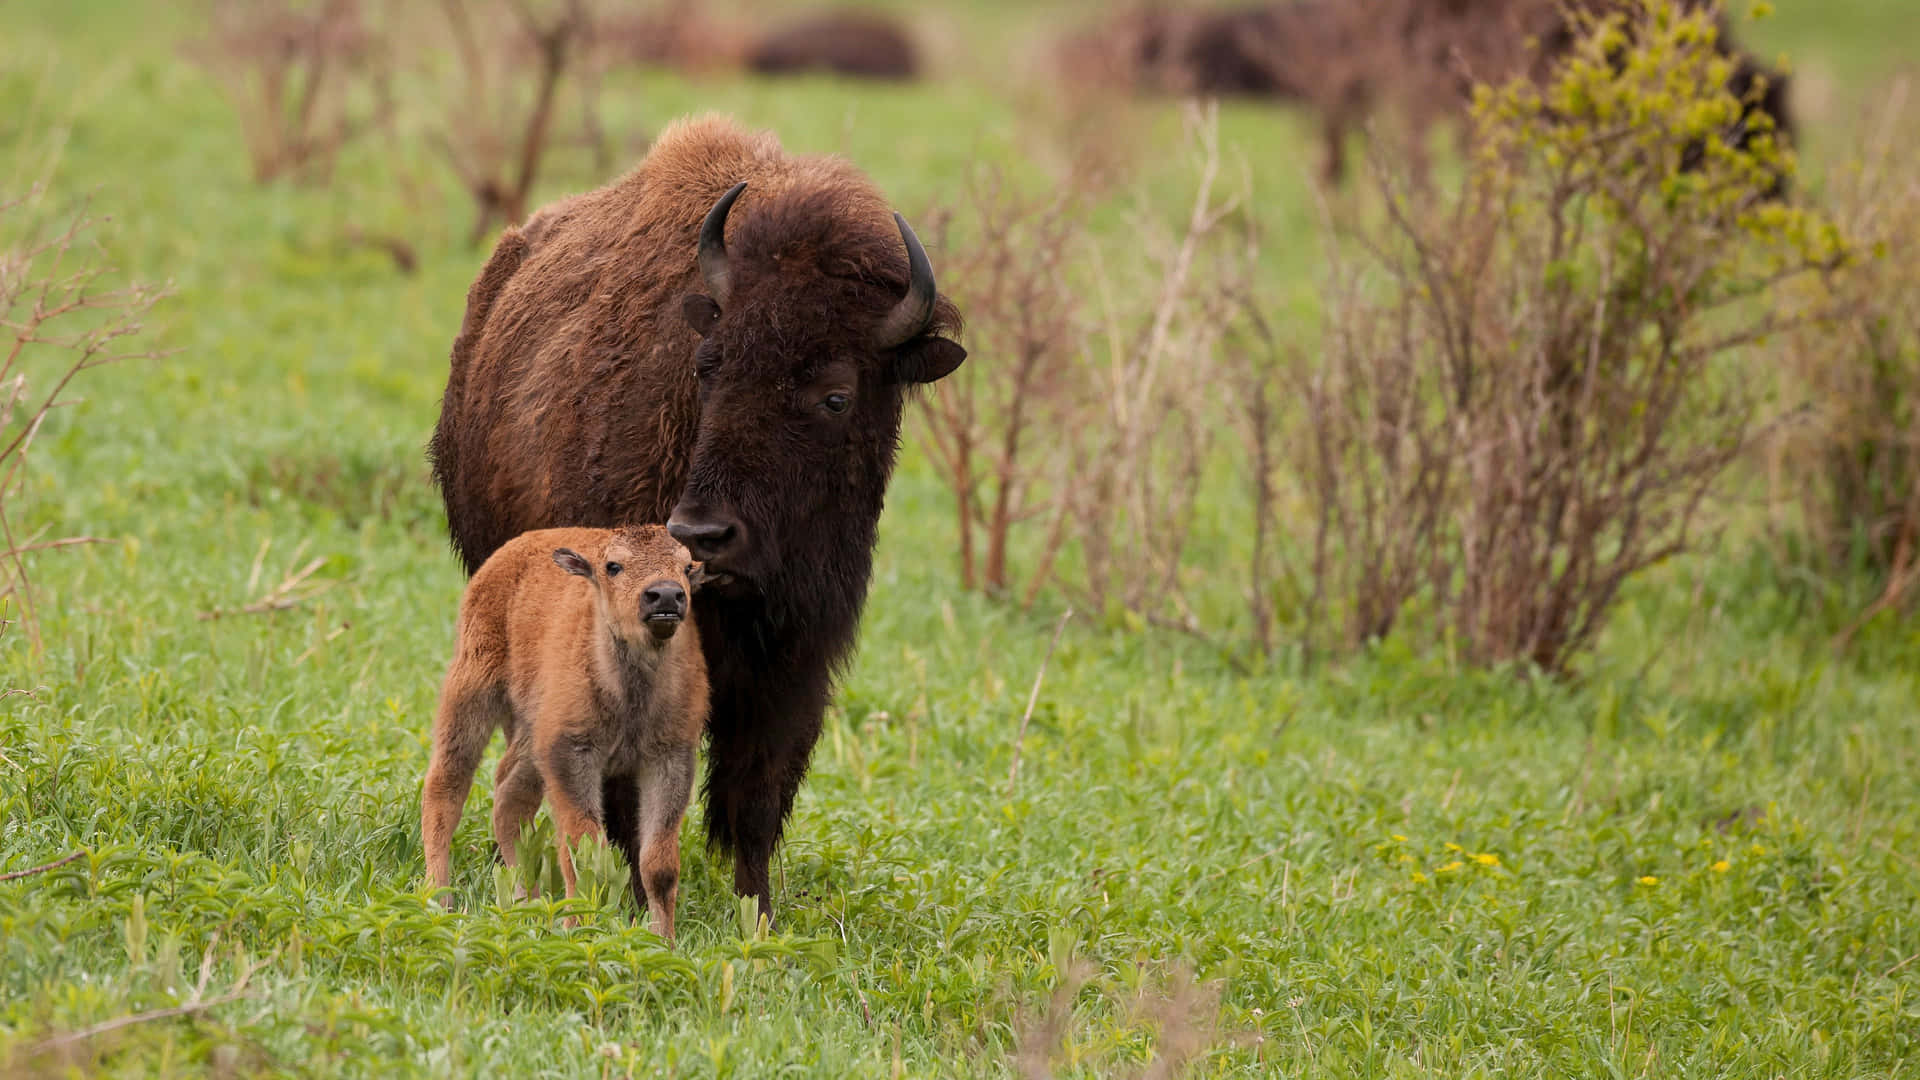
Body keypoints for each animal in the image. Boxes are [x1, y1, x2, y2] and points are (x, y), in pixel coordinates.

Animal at [424, 522, 710, 933]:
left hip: (531, 735)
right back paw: (439, 898)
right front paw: (578, 927)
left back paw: (525, 902)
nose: (666, 596)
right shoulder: (571, 752)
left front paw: (664, 938)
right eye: (613, 566)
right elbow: (582, 850)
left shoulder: (670, 757)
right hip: (472, 690)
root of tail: (513, 549)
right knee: (446, 786)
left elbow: (659, 864)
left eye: (686, 567)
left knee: (509, 798)